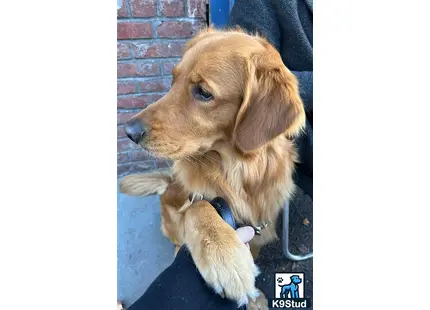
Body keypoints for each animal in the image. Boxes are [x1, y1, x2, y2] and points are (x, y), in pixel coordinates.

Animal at [118, 27, 306, 308]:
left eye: (203, 92)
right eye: (174, 81)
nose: (129, 132)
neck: (237, 172)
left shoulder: (259, 231)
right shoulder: (195, 200)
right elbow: (199, 207)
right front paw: (225, 255)